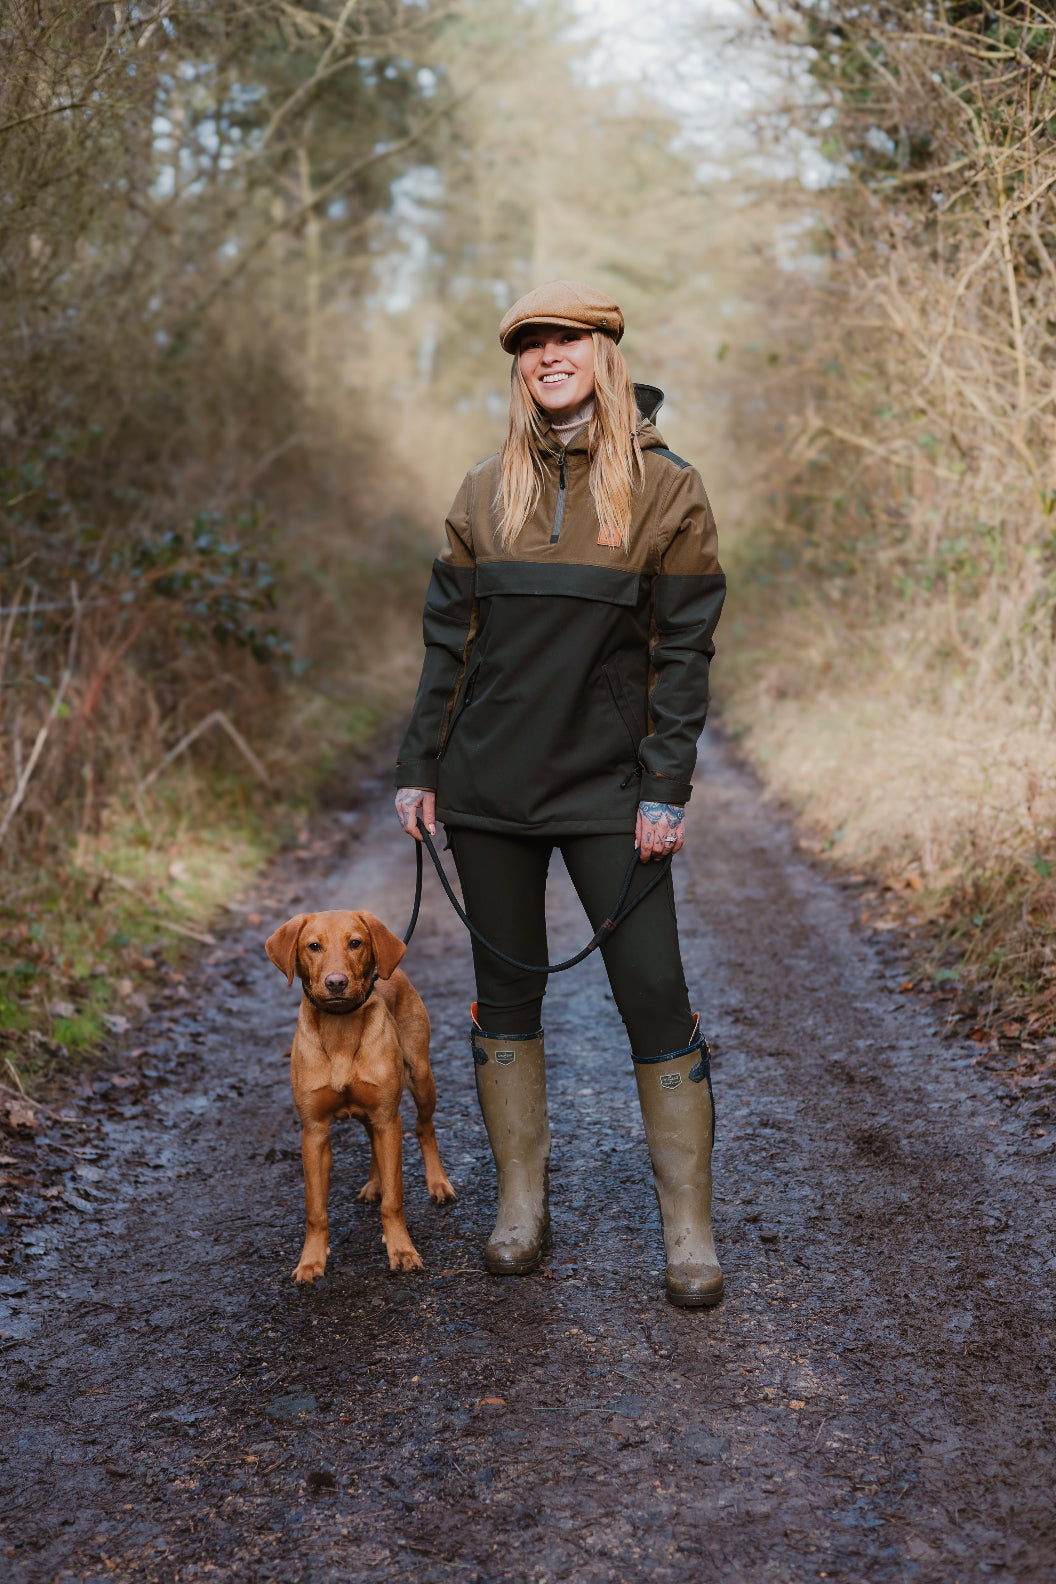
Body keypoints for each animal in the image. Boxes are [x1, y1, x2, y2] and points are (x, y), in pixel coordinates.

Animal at [264, 912, 455, 1279]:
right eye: (313, 946)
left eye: (355, 943)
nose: (336, 982)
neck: (340, 1030)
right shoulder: (314, 1132)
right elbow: (315, 1210)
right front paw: (310, 1261)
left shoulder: (387, 1118)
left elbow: (394, 1201)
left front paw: (402, 1250)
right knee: (372, 1141)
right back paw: (374, 1184)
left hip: (421, 1077)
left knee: (424, 1128)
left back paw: (438, 1183)